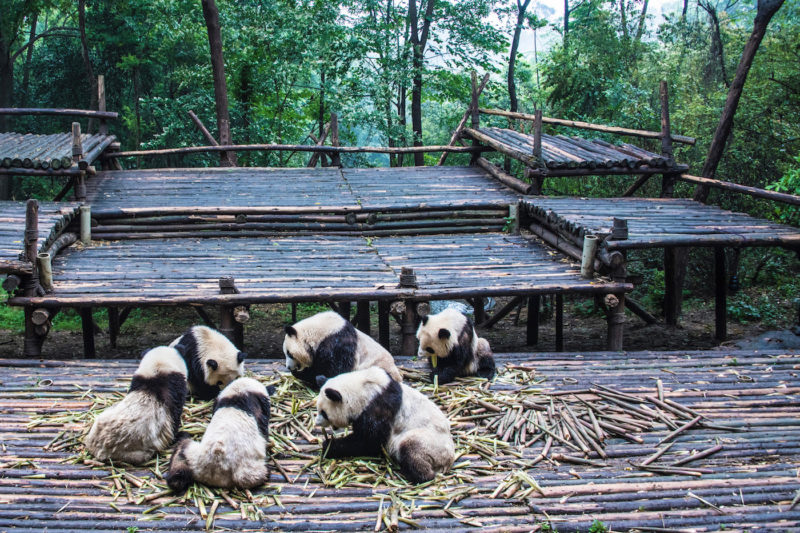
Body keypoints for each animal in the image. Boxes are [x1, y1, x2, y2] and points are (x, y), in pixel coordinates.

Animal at [314, 366, 454, 482]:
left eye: (324, 413)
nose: (317, 422)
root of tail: (448, 460)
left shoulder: (377, 407)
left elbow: (369, 441)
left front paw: (329, 445)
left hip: (430, 443)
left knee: (411, 449)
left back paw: (416, 474)